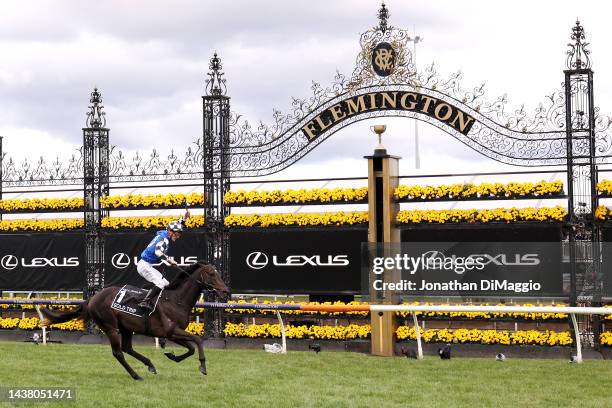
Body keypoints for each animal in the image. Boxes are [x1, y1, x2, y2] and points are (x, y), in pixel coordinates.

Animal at [40, 262, 230, 380]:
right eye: (211, 274)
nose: (226, 291)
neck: (176, 299)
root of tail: (93, 298)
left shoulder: (172, 333)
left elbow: (191, 348)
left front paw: (171, 355)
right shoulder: (171, 331)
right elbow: (197, 340)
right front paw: (203, 367)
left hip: (126, 327)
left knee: (127, 348)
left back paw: (150, 365)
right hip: (110, 327)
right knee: (118, 352)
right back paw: (136, 375)